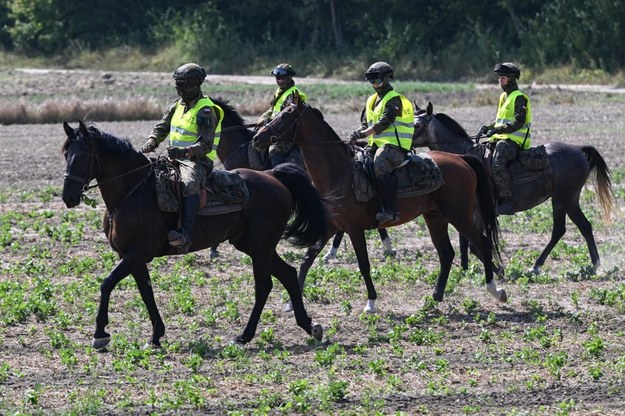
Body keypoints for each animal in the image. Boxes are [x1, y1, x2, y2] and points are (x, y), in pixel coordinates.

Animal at [61, 121, 330, 352]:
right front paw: (156, 335)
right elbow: (146, 293)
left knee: (264, 286)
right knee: (288, 274)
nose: (68, 197)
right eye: (66, 154)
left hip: (261, 245)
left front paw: (100, 335)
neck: (134, 192)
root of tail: (273, 175)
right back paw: (309, 326)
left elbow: (107, 283)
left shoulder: (137, 254)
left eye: (84, 156)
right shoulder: (132, 257)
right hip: (250, 244)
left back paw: (244, 336)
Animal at [251, 96, 504, 312]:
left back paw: (495, 289)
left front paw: (371, 302)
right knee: (447, 253)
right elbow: (306, 260)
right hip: (435, 216)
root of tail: (461, 158)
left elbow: (364, 264)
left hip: (458, 214)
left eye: (286, 115)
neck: (341, 173)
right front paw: (291, 303)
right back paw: (435, 297)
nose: (257, 138)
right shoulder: (332, 226)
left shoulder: (354, 229)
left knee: (481, 243)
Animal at [412, 102, 612, 274]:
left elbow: (474, 244)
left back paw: (536, 266)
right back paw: (596, 265)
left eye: (417, 124)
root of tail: (578, 149)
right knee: (584, 226)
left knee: (559, 230)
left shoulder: (480, 211)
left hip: (561, 199)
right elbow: (465, 241)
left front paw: (497, 269)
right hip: (571, 200)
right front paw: (465, 269)